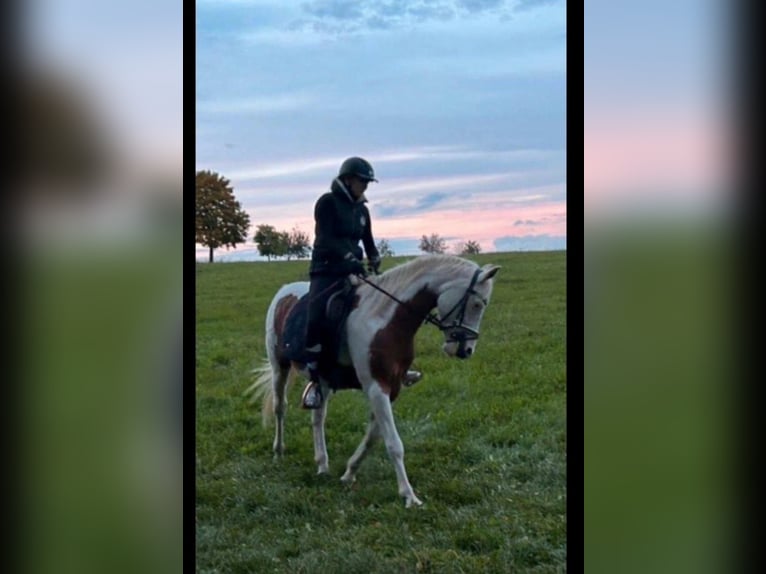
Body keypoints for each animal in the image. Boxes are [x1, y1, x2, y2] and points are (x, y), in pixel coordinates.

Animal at [245, 254, 500, 507]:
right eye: (477, 304)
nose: (466, 350)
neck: (385, 320)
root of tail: (284, 291)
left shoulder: (391, 388)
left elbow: (374, 437)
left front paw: (349, 472)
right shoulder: (376, 388)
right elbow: (394, 443)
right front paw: (409, 495)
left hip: (323, 381)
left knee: (318, 418)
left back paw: (322, 464)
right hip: (280, 366)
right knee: (280, 408)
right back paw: (279, 452)